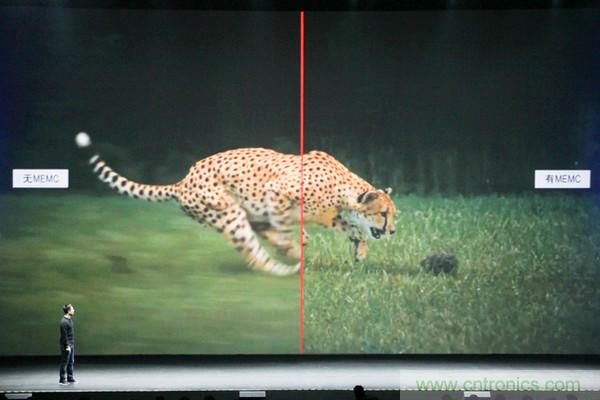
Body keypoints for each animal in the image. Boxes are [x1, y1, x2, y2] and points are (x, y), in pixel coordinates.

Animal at [75, 132, 396, 276]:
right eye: (383, 214)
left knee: (261, 238)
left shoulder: (330, 215)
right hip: (230, 213)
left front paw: (360, 252)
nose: (392, 231)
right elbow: (285, 224)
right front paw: (296, 242)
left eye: (392, 215)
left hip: (240, 214)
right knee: (254, 251)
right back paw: (285, 266)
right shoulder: (275, 191)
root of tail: (182, 181)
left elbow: (351, 229)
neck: (343, 186)